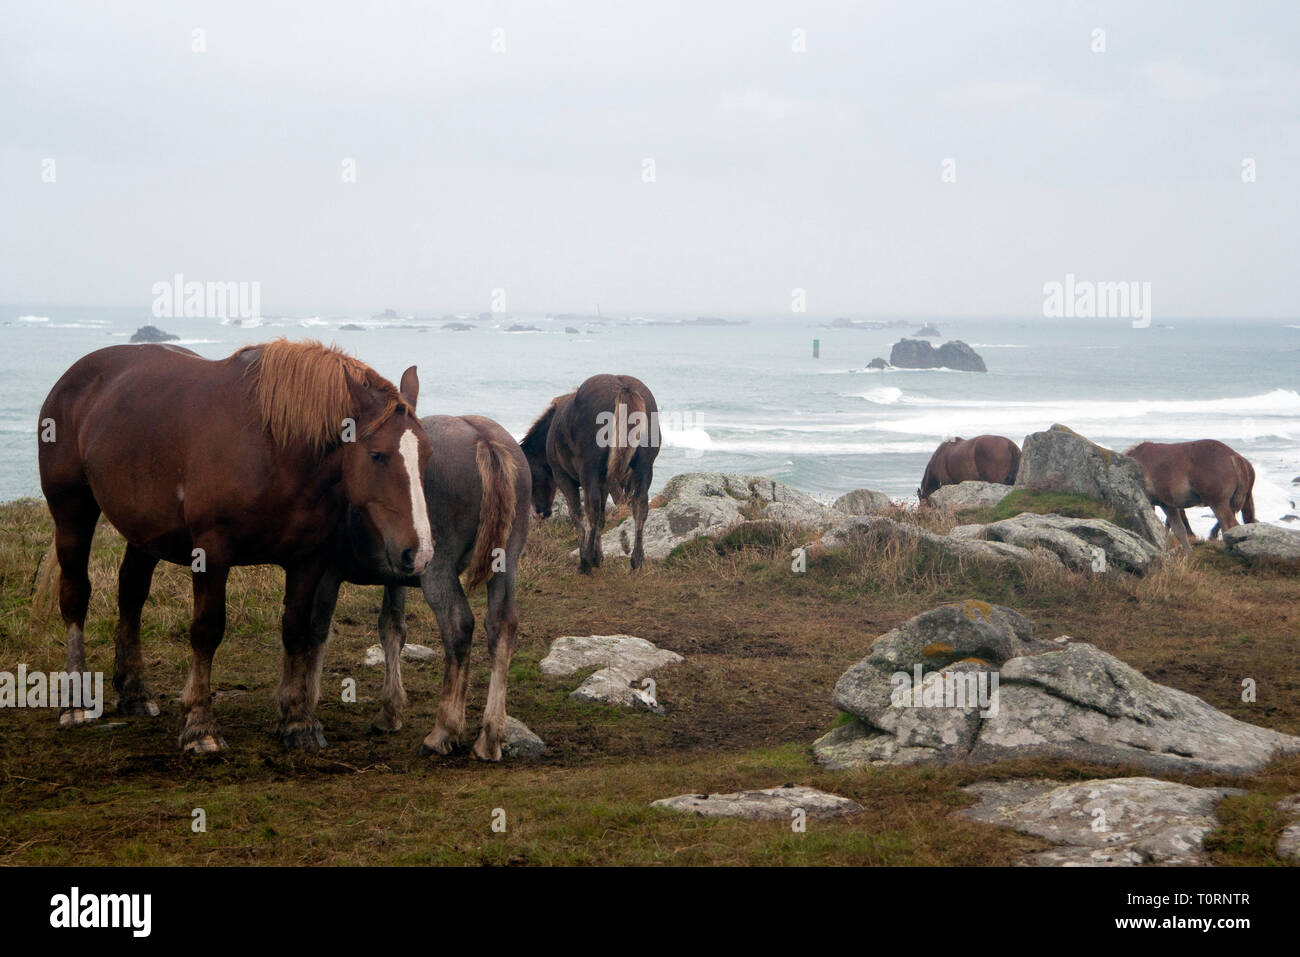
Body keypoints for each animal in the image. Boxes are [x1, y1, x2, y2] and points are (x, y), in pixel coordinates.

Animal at [37, 340, 433, 753]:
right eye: (377, 455)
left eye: (427, 455)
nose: (418, 552)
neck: (273, 449)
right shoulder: (211, 553)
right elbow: (207, 630)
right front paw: (200, 723)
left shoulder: (307, 559)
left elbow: (296, 631)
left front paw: (298, 722)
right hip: (72, 511)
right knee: (75, 595)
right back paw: (75, 701)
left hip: (144, 530)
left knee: (131, 594)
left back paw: (133, 691)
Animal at [313, 412, 530, 761]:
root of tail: (483, 438)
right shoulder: (394, 576)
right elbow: (391, 628)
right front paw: (390, 711)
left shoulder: (321, 573)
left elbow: (313, 634)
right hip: (505, 563)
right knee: (502, 627)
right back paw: (490, 736)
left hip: (438, 571)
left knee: (458, 625)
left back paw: (443, 731)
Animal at [521, 374, 659, 572]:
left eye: (530, 474)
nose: (540, 513)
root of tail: (624, 389)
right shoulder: (604, 482)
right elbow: (601, 517)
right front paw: (598, 556)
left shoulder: (563, 477)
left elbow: (577, 514)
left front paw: (588, 556)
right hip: (644, 466)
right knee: (640, 505)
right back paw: (637, 561)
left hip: (589, 468)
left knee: (591, 507)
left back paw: (585, 562)